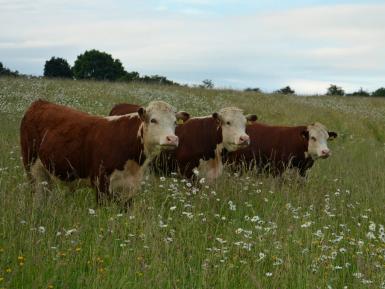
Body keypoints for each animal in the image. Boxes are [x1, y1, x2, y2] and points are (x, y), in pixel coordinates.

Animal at [20, 99, 182, 205]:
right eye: (153, 120)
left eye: (175, 122)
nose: (172, 139)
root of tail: (40, 102)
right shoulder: (101, 183)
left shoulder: (129, 189)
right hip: (31, 167)